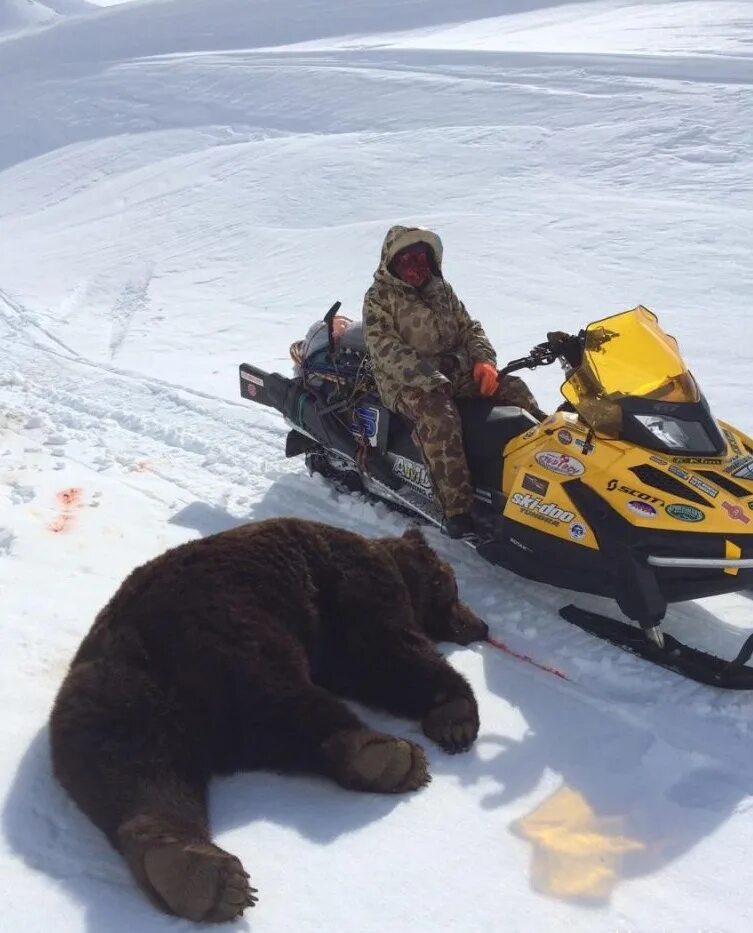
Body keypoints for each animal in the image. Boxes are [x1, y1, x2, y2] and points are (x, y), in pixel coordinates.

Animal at [51, 520, 488, 920]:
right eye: (454, 589)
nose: (482, 625)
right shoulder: (356, 586)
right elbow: (388, 650)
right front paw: (455, 718)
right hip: (236, 633)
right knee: (288, 699)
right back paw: (390, 758)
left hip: (112, 703)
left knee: (137, 773)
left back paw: (195, 874)